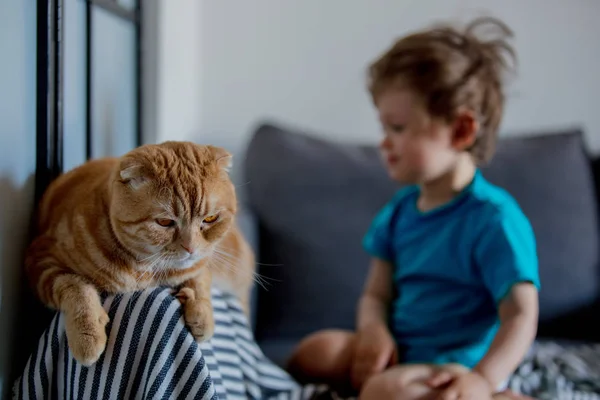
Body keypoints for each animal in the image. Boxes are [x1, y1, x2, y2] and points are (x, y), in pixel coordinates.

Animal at [25, 141, 255, 366]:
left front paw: (202, 314)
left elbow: (200, 280)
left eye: (210, 219)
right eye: (164, 222)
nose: (191, 248)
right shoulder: (41, 258)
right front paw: (87, 336)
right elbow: (75, 287)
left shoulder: (201, 263)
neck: (144, 270)